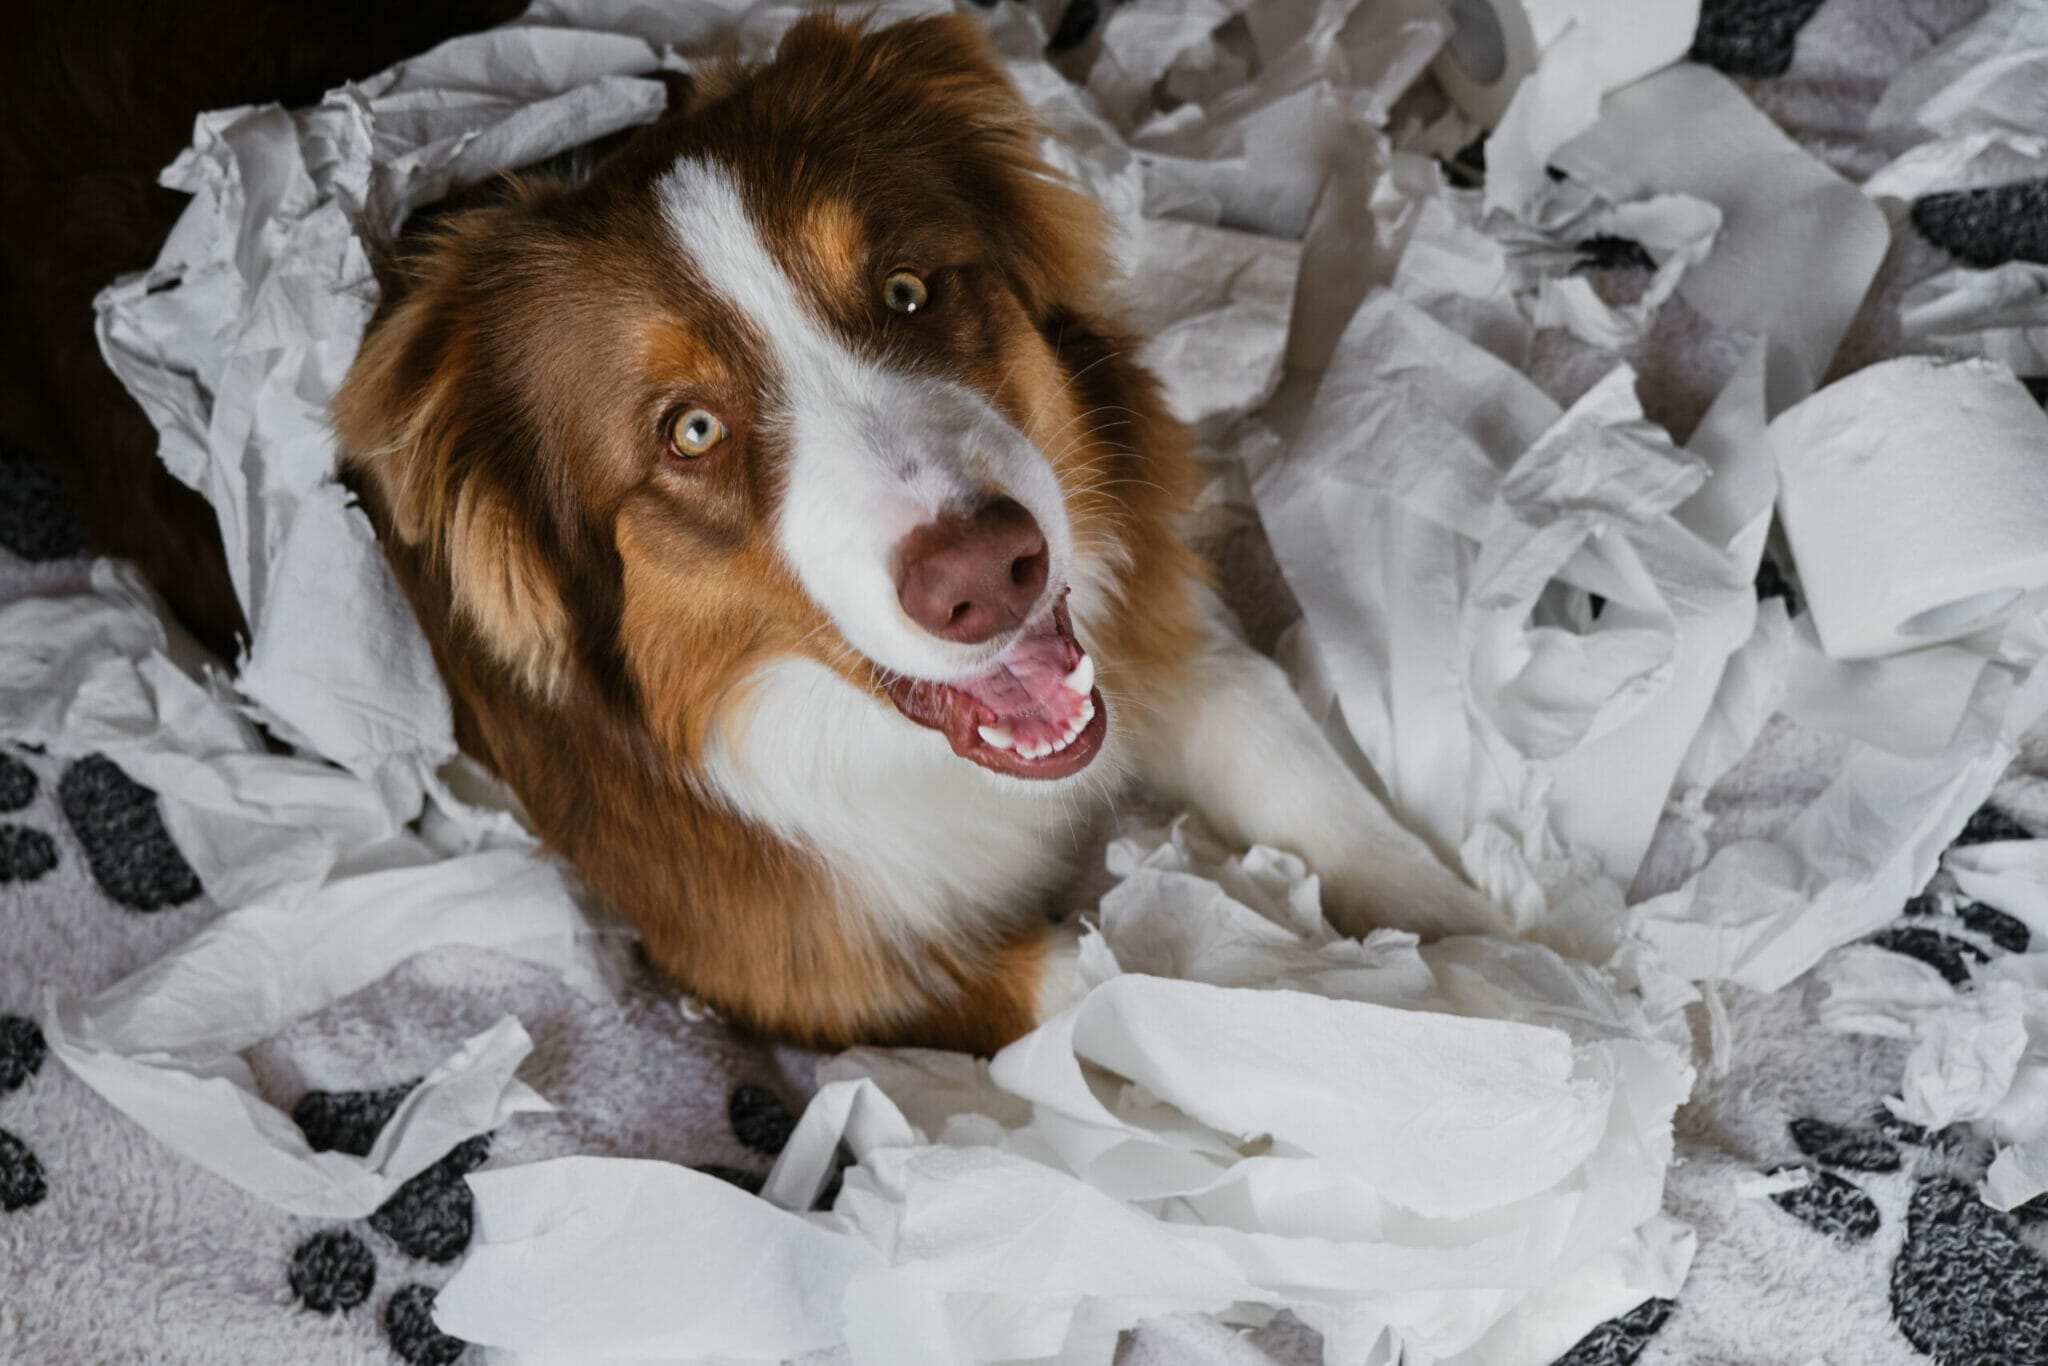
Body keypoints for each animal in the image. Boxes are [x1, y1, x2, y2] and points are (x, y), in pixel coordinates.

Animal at [319, 10, 1507, 1056]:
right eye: (690, 431)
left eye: (904, 291)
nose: (988, 574)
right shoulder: (783, 966)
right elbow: (1148, 981)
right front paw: (1428, 1010)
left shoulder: (1159, 634)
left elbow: (1305, 778)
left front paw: (1491, 945)